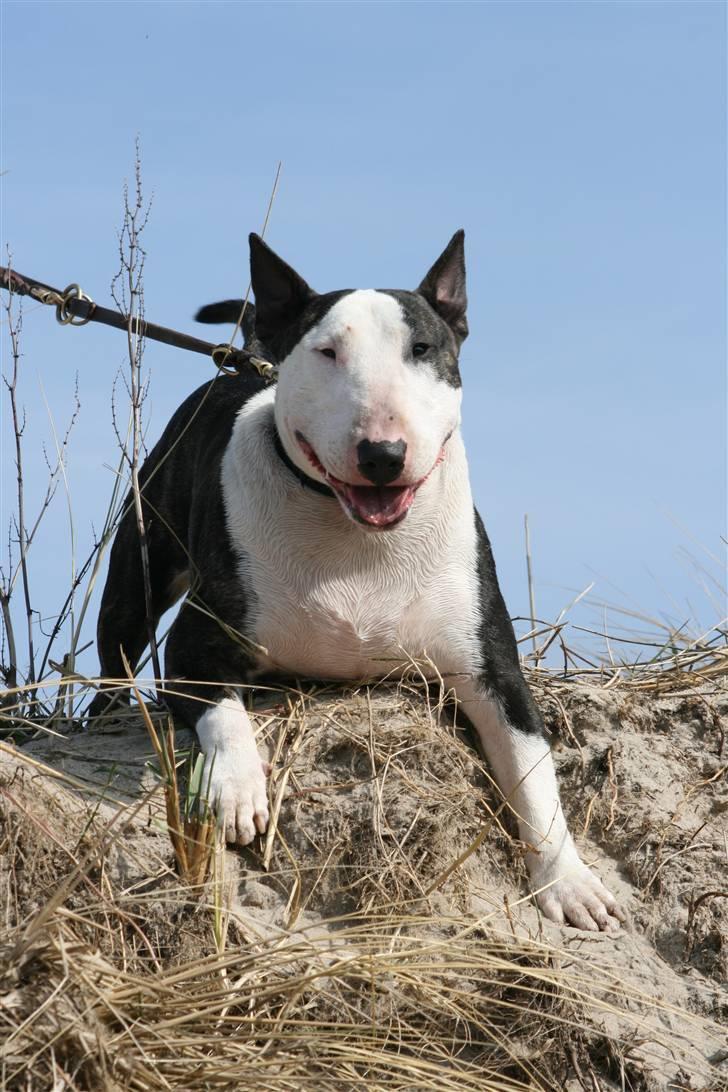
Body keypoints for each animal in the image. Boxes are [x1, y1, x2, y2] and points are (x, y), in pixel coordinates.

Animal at [92, 230, 628, 930]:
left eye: (422, 349)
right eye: (326, 351)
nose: (382, 454)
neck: (359, 541)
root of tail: (247, 363)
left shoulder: (495, 673)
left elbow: (533, 773)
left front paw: (569, 881)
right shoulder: (194, 650)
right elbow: (224, 714)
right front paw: (237, 790)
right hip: (143, 558)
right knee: (119, 643)